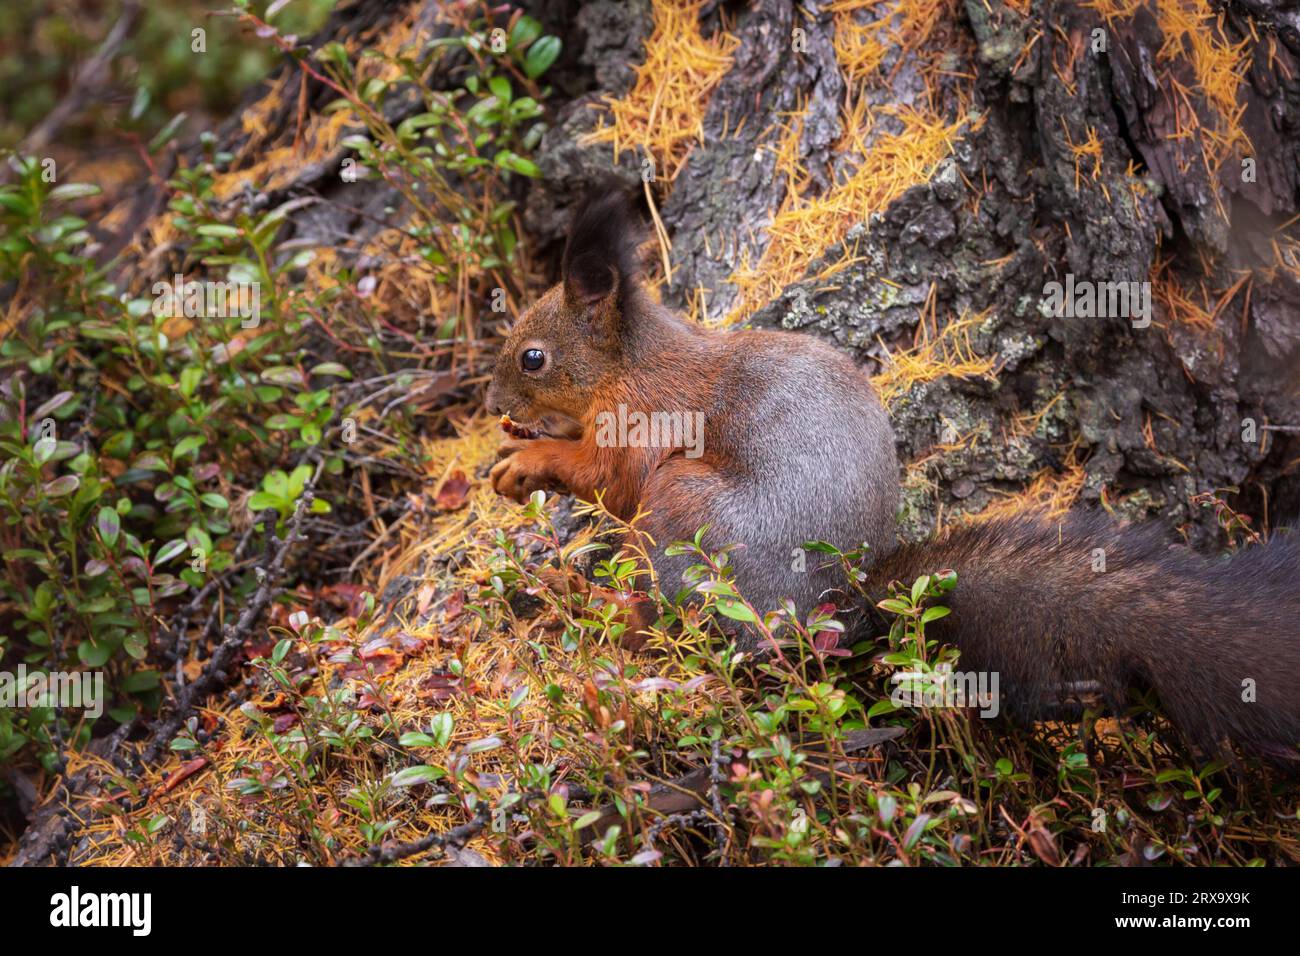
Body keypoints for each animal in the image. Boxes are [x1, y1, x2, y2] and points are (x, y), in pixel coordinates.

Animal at [486, 188, 1300, 763]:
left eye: (533, 357)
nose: (497, 404)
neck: (631, 361)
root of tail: (833, 611)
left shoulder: (645, 419)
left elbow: (605, 477)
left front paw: (527, 461)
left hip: (684, 510)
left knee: (668, 625)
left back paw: (587, 604)